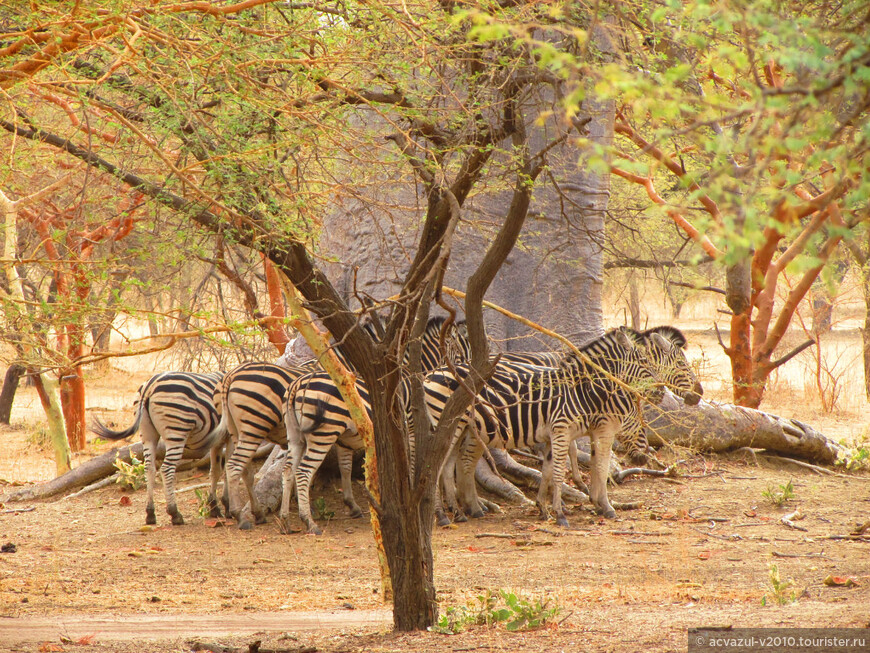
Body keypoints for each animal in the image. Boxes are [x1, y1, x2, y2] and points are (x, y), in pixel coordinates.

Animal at [90, 372, 227, 524]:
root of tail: (149, 386)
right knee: (167, 469)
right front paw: (226, 506)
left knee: (149, 468)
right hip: (177, 430)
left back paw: (150, 513)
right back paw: (174, 513)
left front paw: (215, 507)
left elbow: (216, 471)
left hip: (147, 434)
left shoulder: (218, 441)